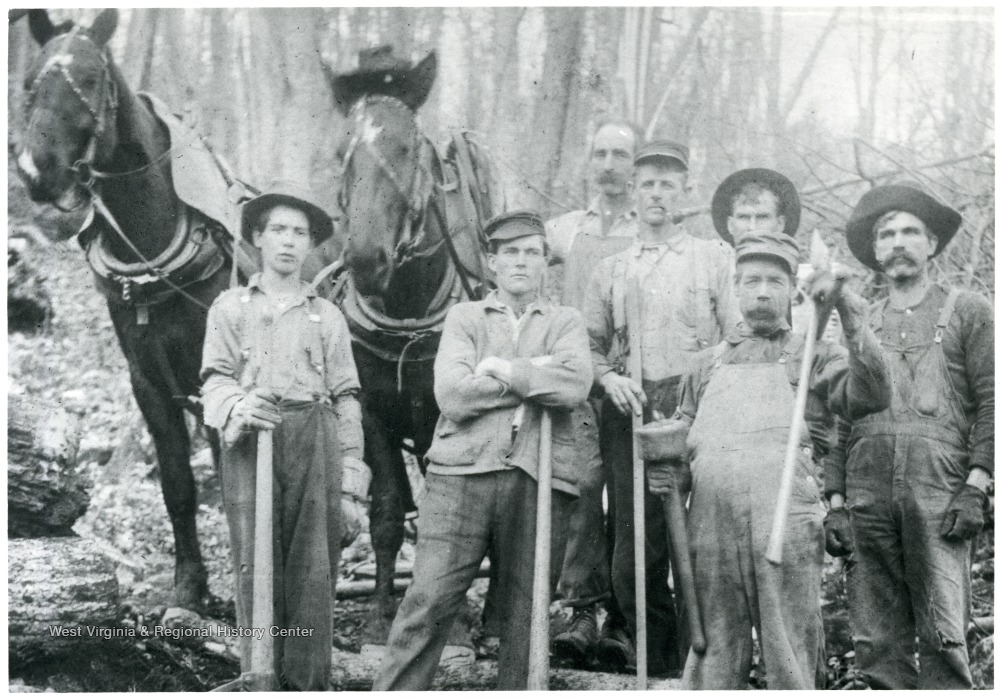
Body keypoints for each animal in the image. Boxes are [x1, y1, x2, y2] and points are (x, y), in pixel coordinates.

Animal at [332, 72, 504, 640]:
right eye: (342, 152)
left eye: (407, 149)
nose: (366, 259)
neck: (408, 313)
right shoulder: (371, 416)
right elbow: (387, 512)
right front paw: (380, 615)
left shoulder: (440, 416)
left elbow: (441, 517)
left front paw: (450, 621)